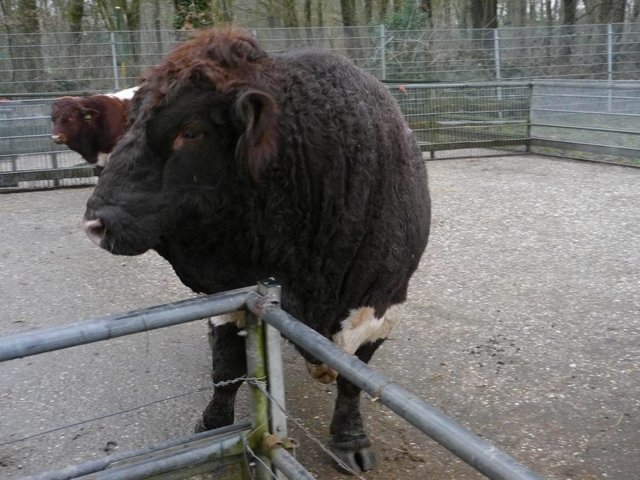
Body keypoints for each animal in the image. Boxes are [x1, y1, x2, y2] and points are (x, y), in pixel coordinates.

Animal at [83, 27, 431, 474]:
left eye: (190, 131)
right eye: (132, 121)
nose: (95, 222)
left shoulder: (382, 302)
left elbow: (353, 379)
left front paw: (350, 438)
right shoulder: (228, 288)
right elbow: (227, 368)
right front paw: (213, 426)